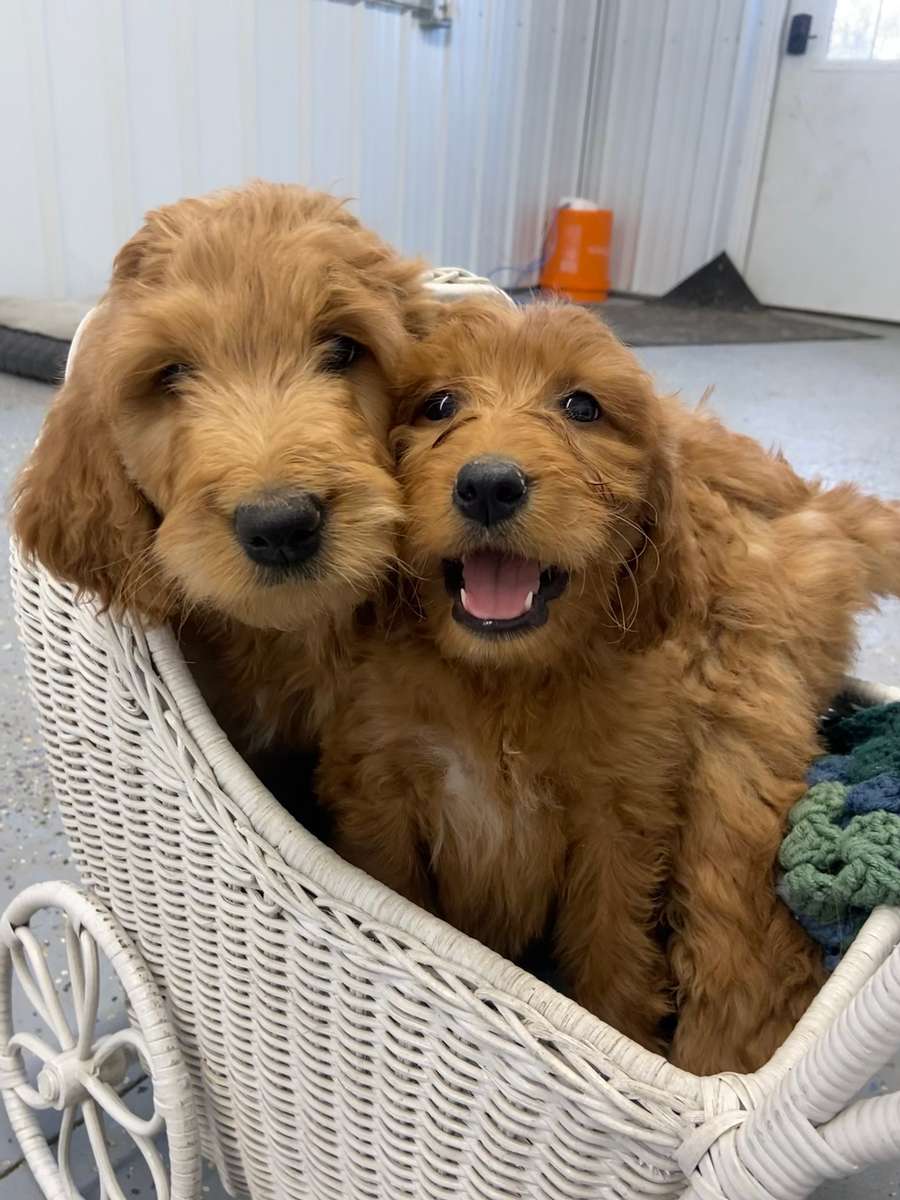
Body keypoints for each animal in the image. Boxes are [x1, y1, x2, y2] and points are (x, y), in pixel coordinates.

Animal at [319, 297, 900, 1070]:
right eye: (439, 404)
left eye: (582, 406)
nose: (488, 484)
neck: (503, 684)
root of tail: (811, 501)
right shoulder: (380, 791)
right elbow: (399, 889)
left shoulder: (616, 824)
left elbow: (613, 948)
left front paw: (620, 1031)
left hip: (738, 741)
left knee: (737, 931)